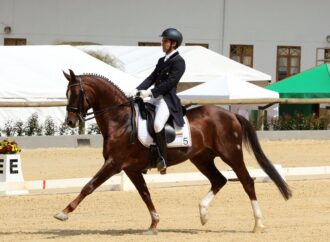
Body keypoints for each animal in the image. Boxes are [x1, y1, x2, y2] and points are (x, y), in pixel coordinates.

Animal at [53, 69, 292, 234]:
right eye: (66, 93)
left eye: (77, 93)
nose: (70, 121)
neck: (121, 121)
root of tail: (231, 114)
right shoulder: (130, 169)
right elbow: (145, 194)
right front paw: (154, 224)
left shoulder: (114, 163)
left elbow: (89, 186)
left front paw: (63, 213)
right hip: (202, 158)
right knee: (219, 180)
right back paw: (203, 214)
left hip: (231, 154)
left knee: (246, 181)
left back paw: (258, 224)